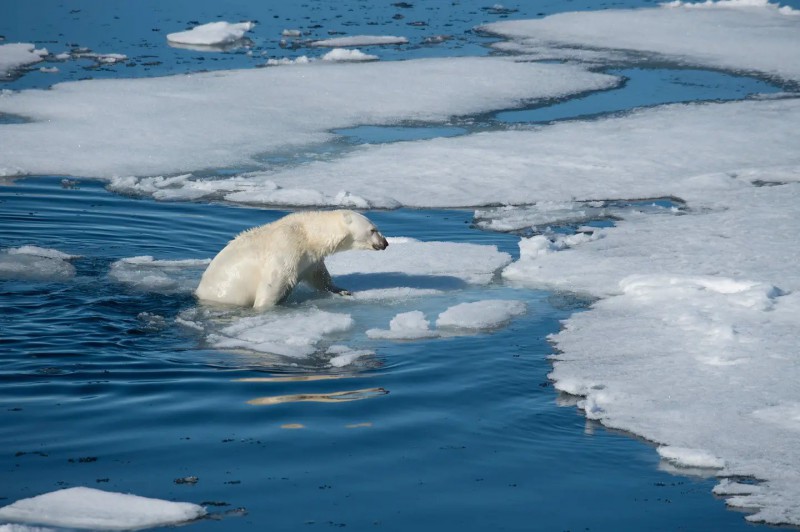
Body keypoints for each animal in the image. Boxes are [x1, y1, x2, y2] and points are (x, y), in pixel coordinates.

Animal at [197, 209, 390, 308]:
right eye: (373, 229)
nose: (385, 242)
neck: (307, 235)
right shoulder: (286, 249)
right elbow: (272, 284)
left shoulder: (309, 259)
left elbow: (319, 276)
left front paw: (341, 290)